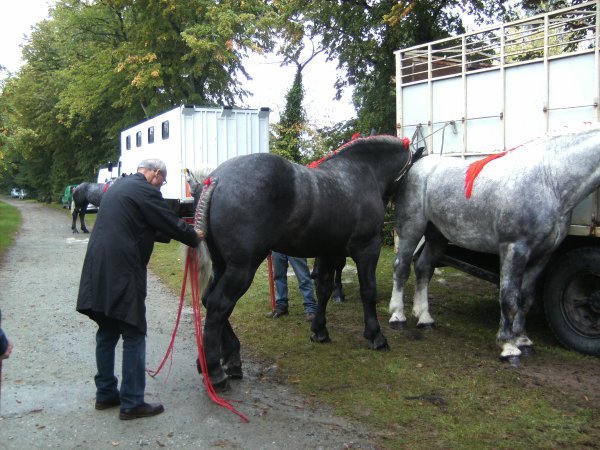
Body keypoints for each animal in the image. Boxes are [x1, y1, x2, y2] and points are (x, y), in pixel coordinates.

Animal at [190, 134, 420, 390]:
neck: (361, 172)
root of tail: (214, 179)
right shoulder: (367, 249)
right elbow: (368, 291)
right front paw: (375, 336)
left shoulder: (329, 252)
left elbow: (324, 290)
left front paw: (319, 331)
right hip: (242, 267)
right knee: (219, 305)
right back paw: (215, 371)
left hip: (222, 265)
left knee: (208, 300)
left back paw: (227, 358)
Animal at [390, 124, 600, 366]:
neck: (549, 180)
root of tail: (416, 164)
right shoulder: (514, 249)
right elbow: (509, 297)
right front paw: (508, 346)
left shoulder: (542, 256)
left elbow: (525, 298)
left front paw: (522, 340)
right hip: (412, 229)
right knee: (401, 267)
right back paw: (397, 316)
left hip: (437, 236)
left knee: (424, 269)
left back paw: (425, 319)